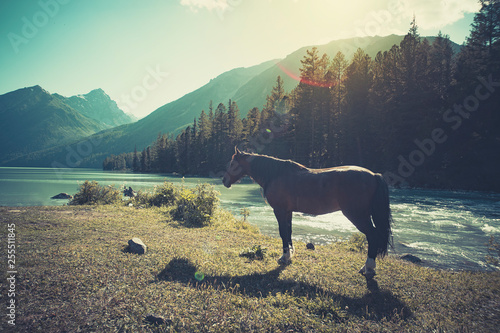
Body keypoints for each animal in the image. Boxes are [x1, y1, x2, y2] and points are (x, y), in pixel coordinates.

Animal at [222, 147, 390, 276]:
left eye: (232, 163)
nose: (224, 181)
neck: (276, 174)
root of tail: (373, 175)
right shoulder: (287, 212)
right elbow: (288, 232)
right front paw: (289, 255)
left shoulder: (279, 211)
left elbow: (283, 233)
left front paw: (284, 257)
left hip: (357, 215)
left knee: (372, 236)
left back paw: (368, 268)